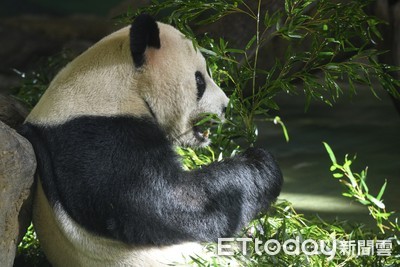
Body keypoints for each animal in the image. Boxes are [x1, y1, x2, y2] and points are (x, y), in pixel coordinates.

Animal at [18, 14, 282, 266]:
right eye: (200, 80)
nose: (226, 107)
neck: (120, 83)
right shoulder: (96, 134)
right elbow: (173, 201)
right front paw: (262, 162)